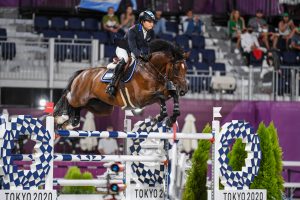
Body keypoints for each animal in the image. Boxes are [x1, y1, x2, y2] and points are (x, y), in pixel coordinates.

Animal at [54, 39, 189, 130]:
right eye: (176, 68)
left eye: (185, 68)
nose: (184, 90)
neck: (150, 70)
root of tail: (82, 73)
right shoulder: (140, 98)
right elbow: (160, 96)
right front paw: (159, 117)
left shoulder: (159, 94)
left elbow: (172, 95)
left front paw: (171, 119)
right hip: (79, 96)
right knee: (68, 97)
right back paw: (62, 118)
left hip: (100, 107)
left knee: (79, 107)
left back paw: (71, 122)